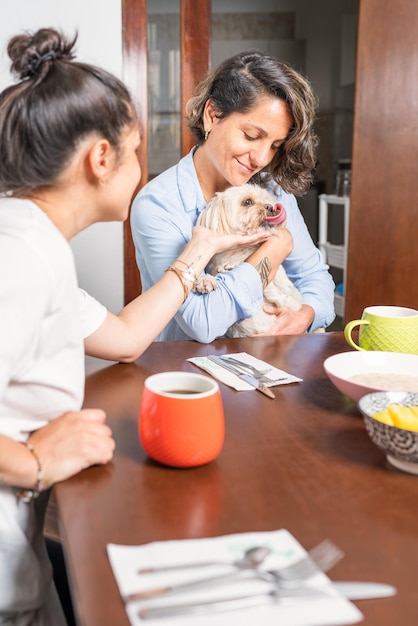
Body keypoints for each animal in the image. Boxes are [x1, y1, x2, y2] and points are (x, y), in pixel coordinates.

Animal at [194, 182, 302, 336]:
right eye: (247, 202)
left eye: (268, 201)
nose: (270, 207)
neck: (235, 252)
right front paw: (206, 280)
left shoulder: (286, 297)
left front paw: (231, 265)